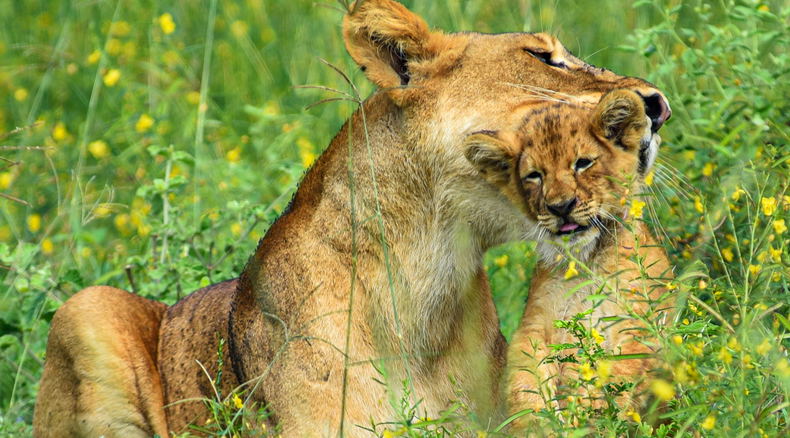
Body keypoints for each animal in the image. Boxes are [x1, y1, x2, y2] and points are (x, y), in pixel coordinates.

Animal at [463, 89, 674, 430]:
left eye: (583, 163)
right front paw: (539, 424)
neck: (587, 261)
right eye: (535, 175)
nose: (561, 207)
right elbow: (526, 377)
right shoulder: (535, 326)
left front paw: (592, 415)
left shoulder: (639, 324)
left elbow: (616, 374)